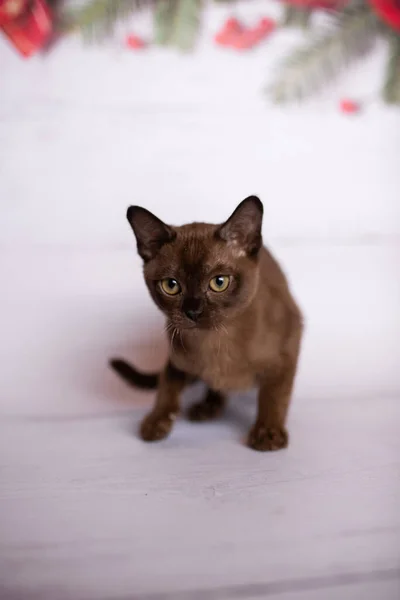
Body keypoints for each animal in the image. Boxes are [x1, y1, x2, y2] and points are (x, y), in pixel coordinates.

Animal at [110, 197, 304, 450]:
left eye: (219, 282)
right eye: (171, 285)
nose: (192, 311)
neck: (216, 341)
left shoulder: (287, 350)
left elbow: (273, 396)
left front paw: (268, 432)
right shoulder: (176, 358)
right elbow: (166, 388)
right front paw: (157, 421)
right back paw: (208, 407)